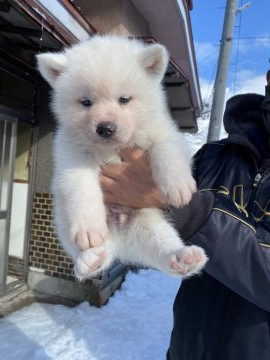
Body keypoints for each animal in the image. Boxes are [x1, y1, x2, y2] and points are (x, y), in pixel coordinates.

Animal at [37, 34, 208, 282]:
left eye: (124, 99)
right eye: (86, 102)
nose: (105, 128)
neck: (113, 149)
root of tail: (121, 237)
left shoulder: (165, 133)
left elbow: (166, 149)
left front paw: (177, 186)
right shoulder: (72, 155)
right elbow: (80, 188)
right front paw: (89, 228)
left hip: (148, 223)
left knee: (163, 243)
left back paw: (182, 258)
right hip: (63, 221)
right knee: (93, 247)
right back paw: (90, 259)